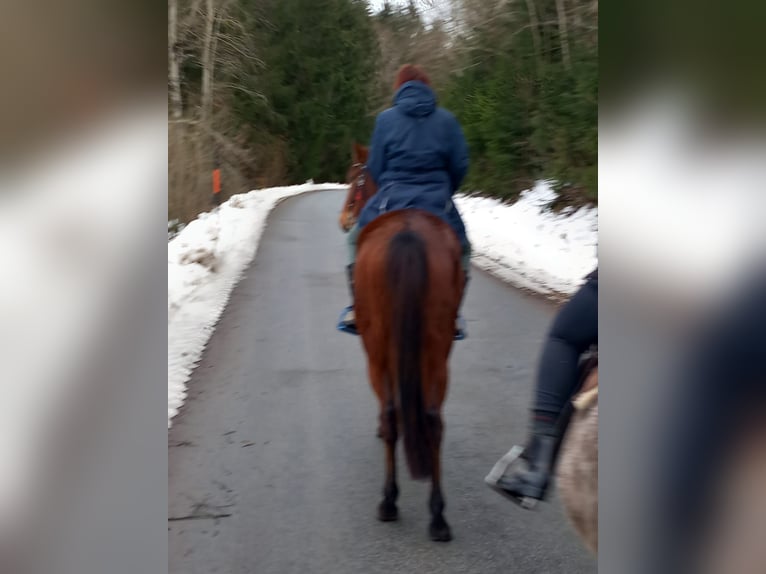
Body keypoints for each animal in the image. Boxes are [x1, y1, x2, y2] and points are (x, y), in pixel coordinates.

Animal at [342, 142, 468, 544]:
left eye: (354, 177)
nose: (344, 220)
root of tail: (409, 234)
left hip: (378, 351)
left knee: (390, 415)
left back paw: (389, 501)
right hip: (437, 350)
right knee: (433, 420)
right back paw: (439, 517)